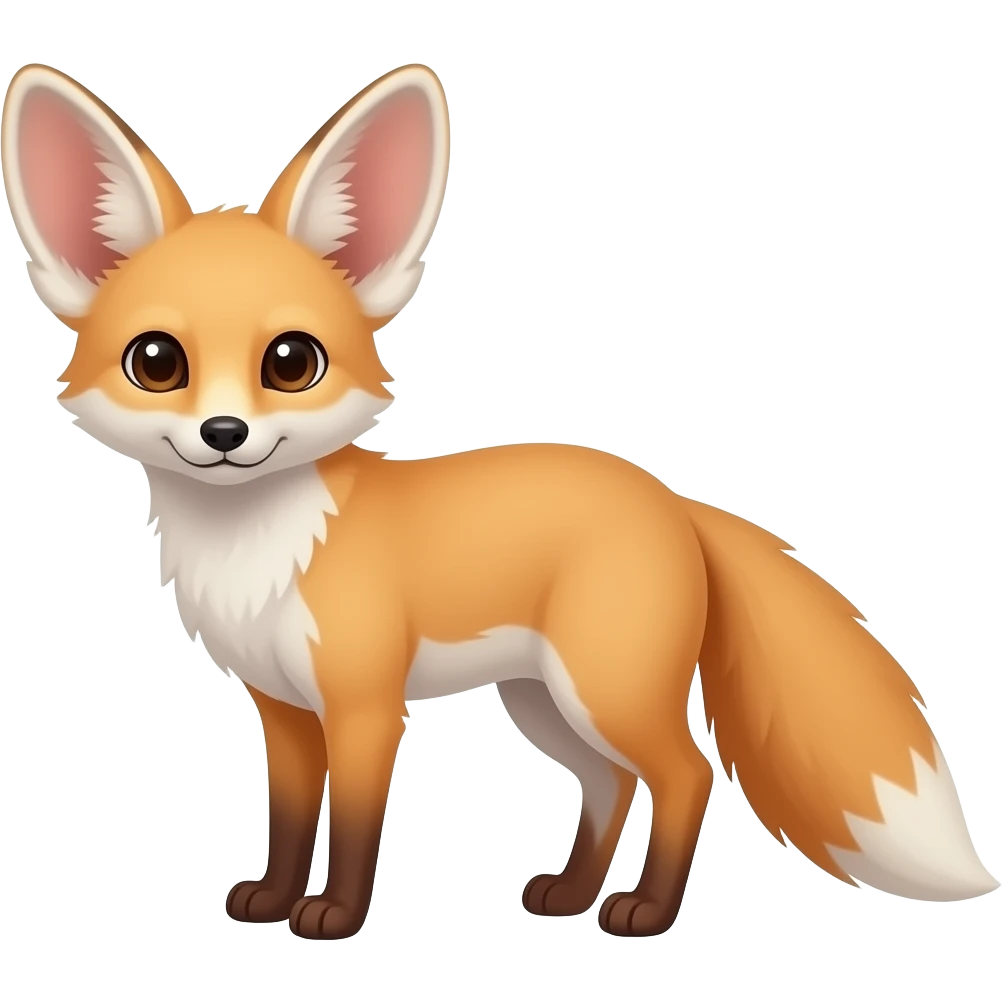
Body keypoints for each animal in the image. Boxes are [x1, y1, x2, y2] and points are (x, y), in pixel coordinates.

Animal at [5, 59, 999, 942]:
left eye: (290, 362)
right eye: (156, 361)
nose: (223, 433)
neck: (259, 554)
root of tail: (671, 495)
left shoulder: (366, 704)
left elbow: (354, 823)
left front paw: (333, 918)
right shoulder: (281, 711)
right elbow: (288, 822)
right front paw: (271, 899)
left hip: (604, 690)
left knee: (685, 775)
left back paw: (643, 914)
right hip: (544, 702)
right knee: (610, 785)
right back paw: (569, 894)